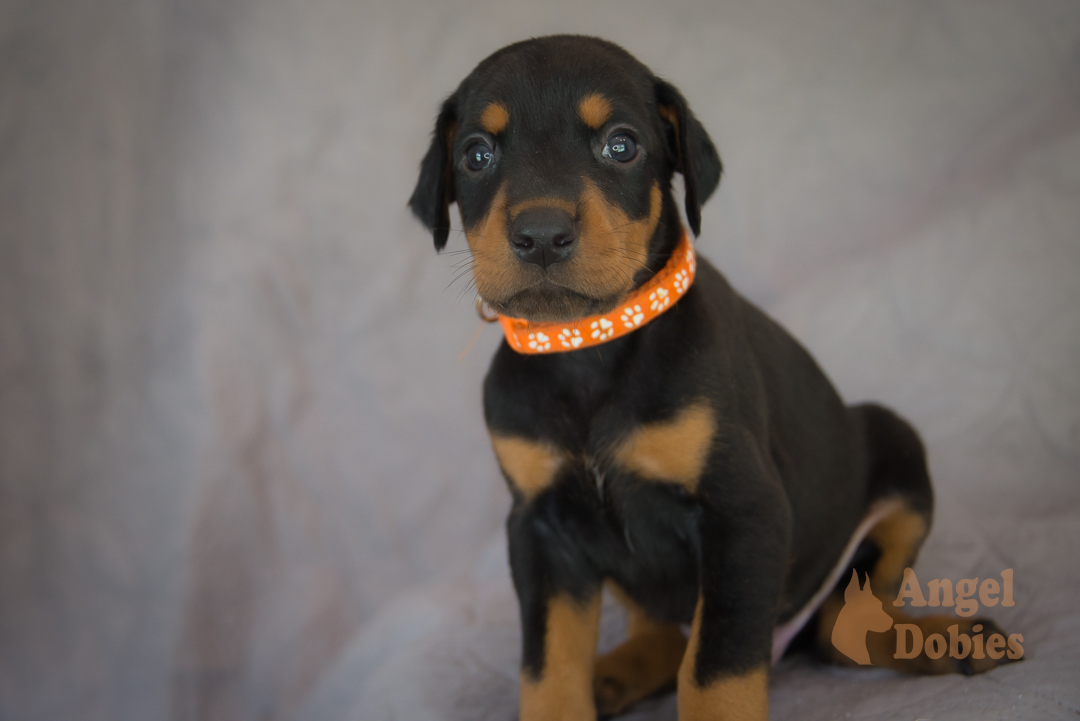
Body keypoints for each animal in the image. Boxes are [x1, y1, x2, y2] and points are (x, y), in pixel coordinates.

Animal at [408, 35, 1006, 721]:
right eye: (476, 154)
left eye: (621, 145)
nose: (540, 235)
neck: (588, 349)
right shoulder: (541, 529)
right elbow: (548, 670)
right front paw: (567, 693)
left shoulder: (743, 514)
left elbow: (716, 669)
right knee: (673, 635)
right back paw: (616, 674)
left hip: (892, 449)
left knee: (842, 627)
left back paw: (949, 640)